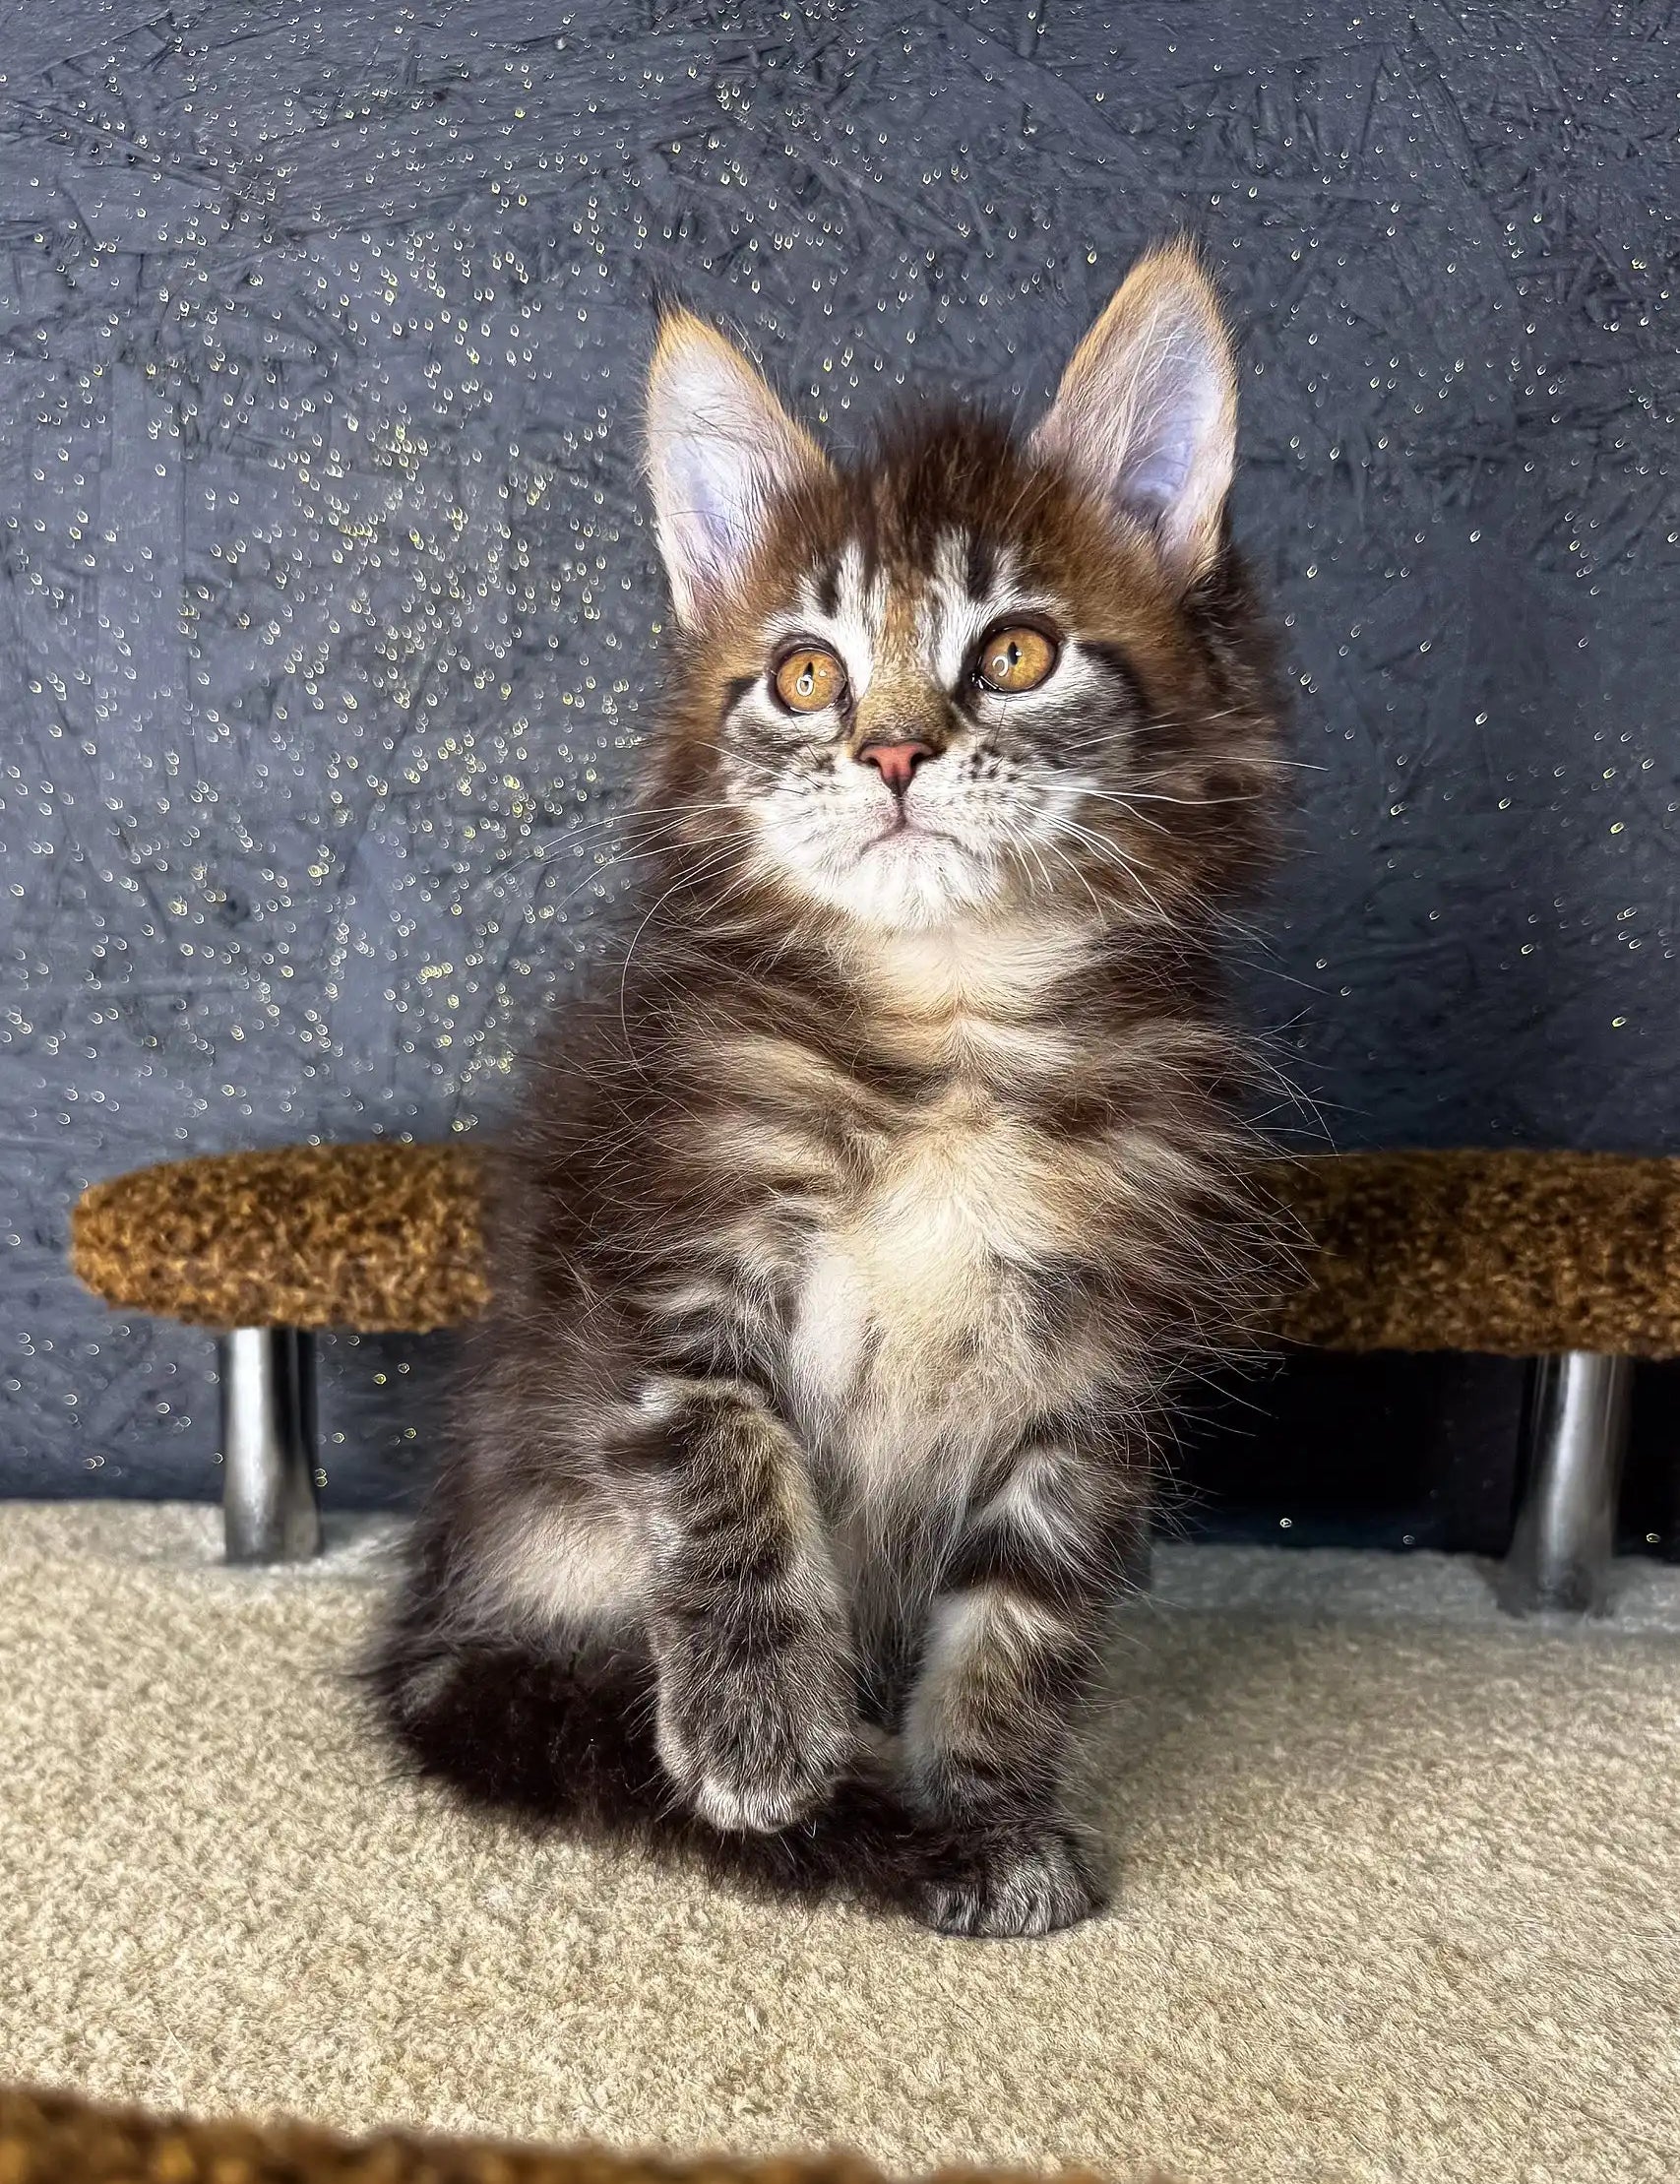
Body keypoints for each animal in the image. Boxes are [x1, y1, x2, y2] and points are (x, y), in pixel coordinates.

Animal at [371, 243, 1284, 1948]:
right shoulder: (669, 1249)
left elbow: (1021, 1618)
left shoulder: (1091, 1360)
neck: (947, 1020)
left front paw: (982, 1814)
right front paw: (756, 1735)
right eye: (806, 673)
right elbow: (728, 1466)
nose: (891, 750)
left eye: (1013, 652)